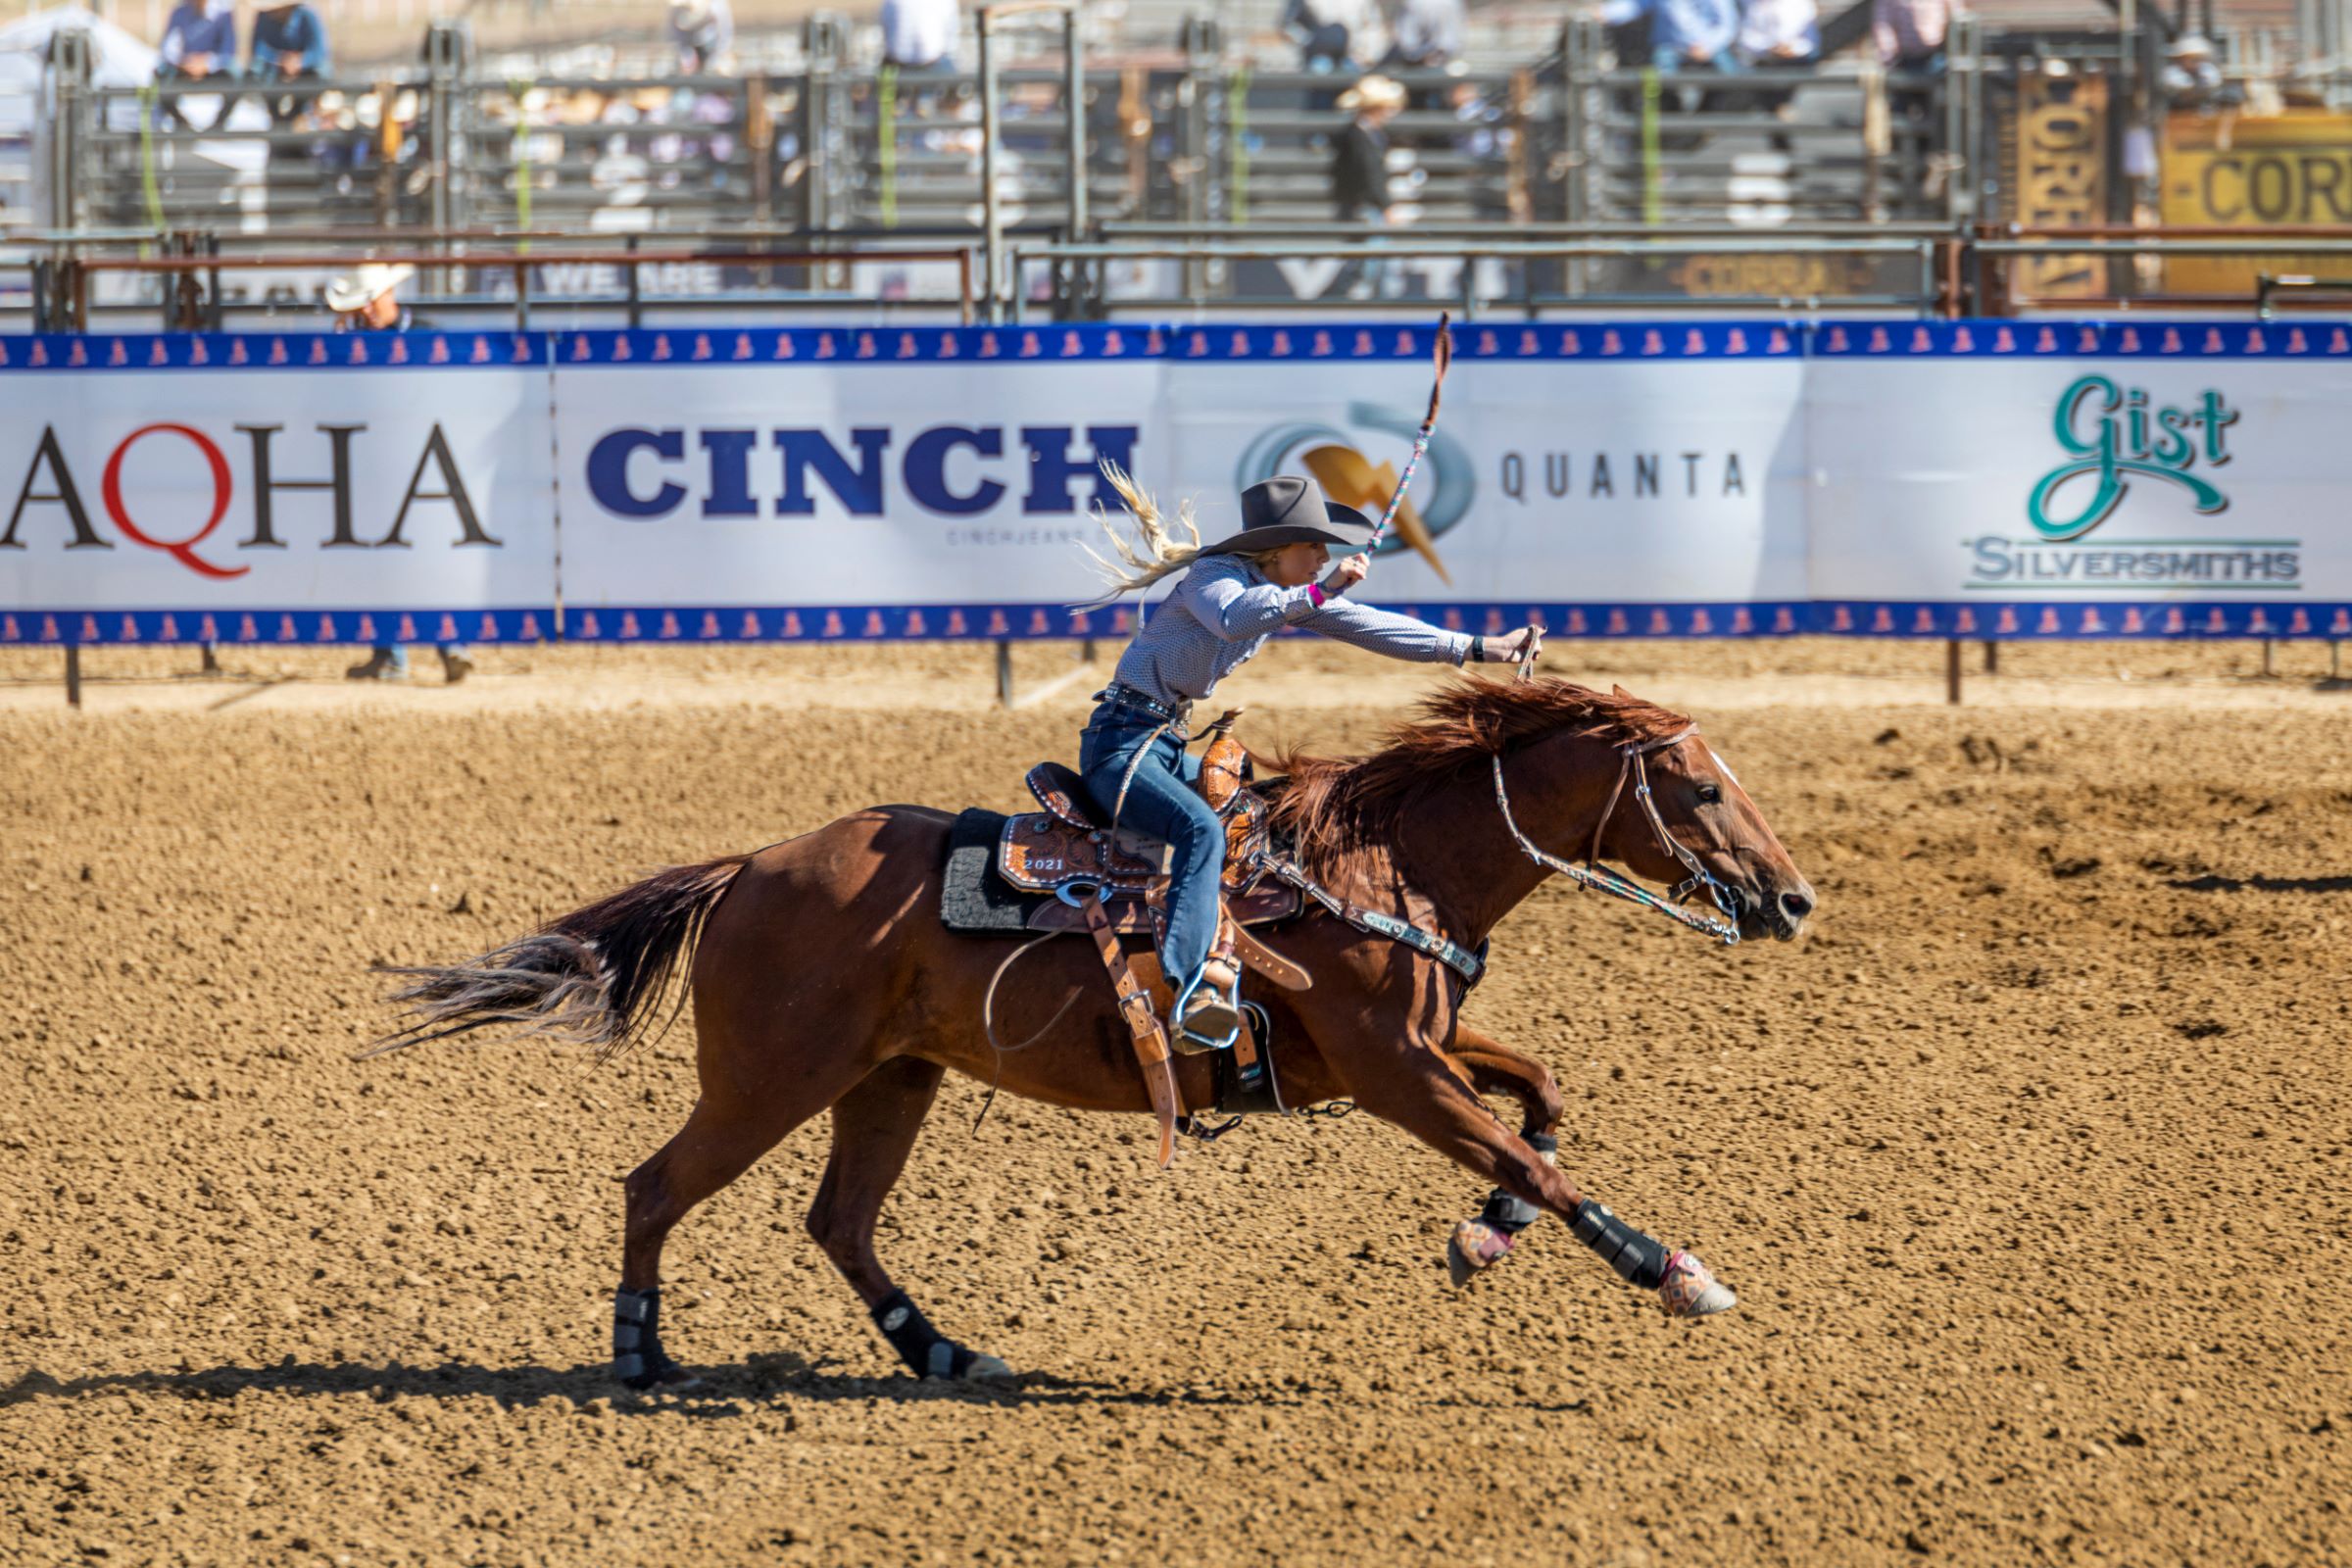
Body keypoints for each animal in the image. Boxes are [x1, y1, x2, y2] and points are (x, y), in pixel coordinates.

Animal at [367, 681, 1806, 1392]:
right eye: (1695, 788)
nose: (1791, 899)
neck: (1383, 860)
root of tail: (753, 866)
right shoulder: (1394, 1071)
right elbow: (1534, 1160)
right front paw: (1676, 1272)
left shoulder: (1421, 1050)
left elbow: (1541, 1103)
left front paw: (1481, 1239)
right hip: (770, 1079)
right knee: (655, 1186)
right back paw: (639, 1353)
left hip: (890, 1079)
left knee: (838, 1222)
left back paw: (942, 1350)